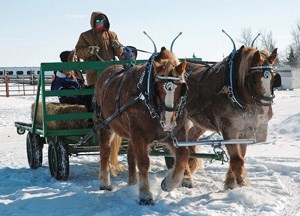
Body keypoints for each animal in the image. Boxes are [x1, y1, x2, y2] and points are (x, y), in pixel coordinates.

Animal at [94, 46, 190, 205]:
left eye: (181, 87)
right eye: (157, 87)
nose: (168, 121)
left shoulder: (173, 134)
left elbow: (183, 156)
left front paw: (168, 184)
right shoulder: (139, 135)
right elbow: (144, 162)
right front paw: (145, 195)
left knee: (130, 155)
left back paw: (132, 183)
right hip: (104, 124)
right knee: (105, 150)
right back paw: (104, 183)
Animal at [185, 46, 282, 189]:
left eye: (274, 78)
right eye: (253, 78)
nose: (265, 113)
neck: (231, 90)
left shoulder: (245, 131)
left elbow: (240, 155)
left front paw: (230, 181)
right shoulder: (228, 129)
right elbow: (237, 158)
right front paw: (241, 182)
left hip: (200, 122)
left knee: (190, 139)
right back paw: (185, 177)